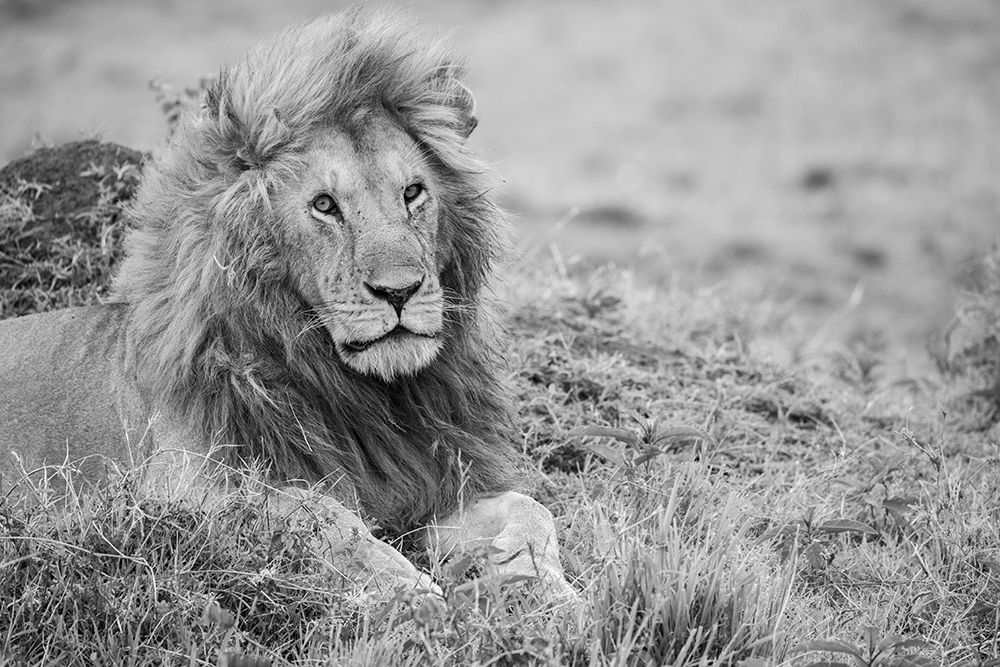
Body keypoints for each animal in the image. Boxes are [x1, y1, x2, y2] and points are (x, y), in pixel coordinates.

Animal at [0, 9, 575, 604]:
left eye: (413, 192)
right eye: (324, 205)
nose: (400, 291)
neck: (361, 395)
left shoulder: (433, 482)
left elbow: (532, 510)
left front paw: (546, 595)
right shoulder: (181, 488)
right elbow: (322, 515)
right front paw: (411, 595)